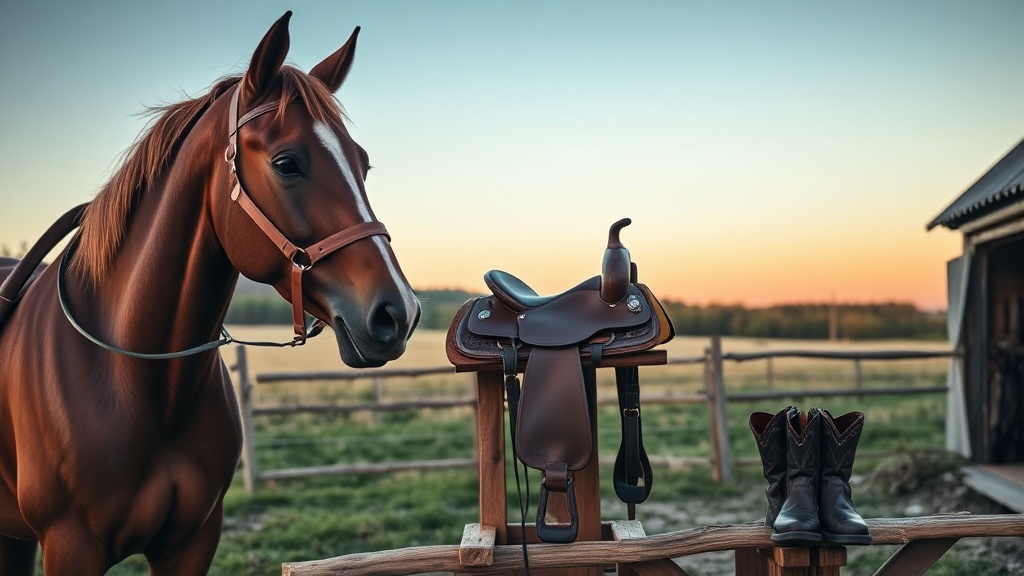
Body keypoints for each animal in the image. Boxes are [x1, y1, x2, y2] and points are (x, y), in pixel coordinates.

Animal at [0, 12, 420, 574]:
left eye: (363, 163)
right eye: (287, 163)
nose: (399, 313)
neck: (139, 379)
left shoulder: (193, 542)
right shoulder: (70, 546)